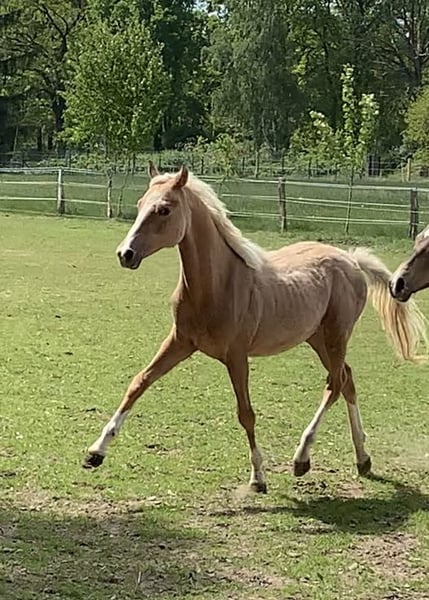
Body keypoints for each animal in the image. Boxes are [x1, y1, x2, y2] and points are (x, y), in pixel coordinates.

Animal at [83, 164, 427, 493]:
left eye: (164, 209)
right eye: (141, 204)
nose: (125, 254)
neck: (218, 286)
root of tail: (352, 260)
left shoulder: (237, 356)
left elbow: (246, 413)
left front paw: (258, 477)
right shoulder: (180, 342)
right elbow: (139, 383)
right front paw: (95, 452)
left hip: (336, 335)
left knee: (335, 384)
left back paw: (302, 459)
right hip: (316, 338)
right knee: (347, 380)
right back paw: (362, 459)